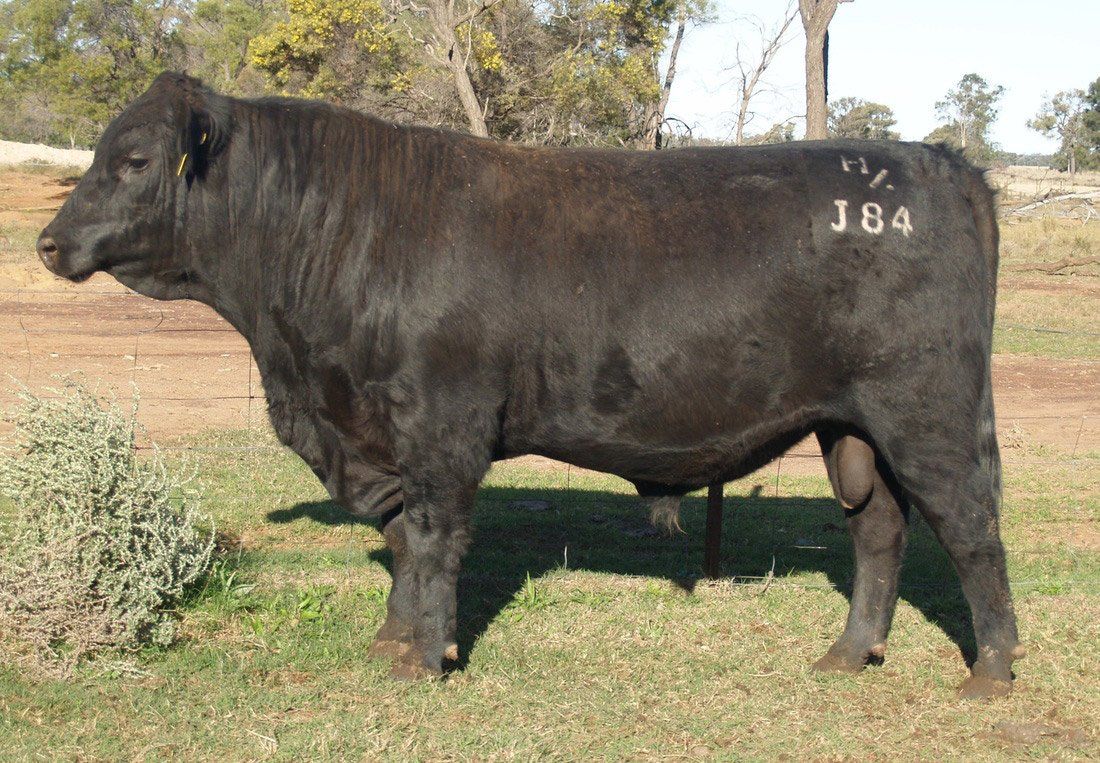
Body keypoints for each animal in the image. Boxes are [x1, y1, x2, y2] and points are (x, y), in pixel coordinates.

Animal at [37, 73, 1023, 698]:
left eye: (134, 160)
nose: (49, 242)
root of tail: (940, 163)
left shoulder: (441, 427)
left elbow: (433, 538)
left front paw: (422, 658)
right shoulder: (385, 436)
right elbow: (402, 542)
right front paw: (396, 637)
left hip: (926, 415)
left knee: (970, 527)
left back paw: (991, 669)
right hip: (851, 425)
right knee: (880, 532)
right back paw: (849, 654)